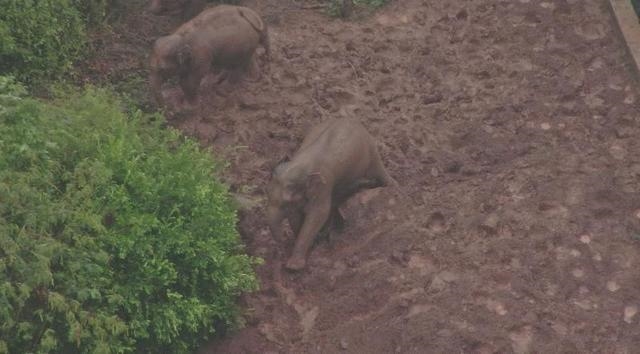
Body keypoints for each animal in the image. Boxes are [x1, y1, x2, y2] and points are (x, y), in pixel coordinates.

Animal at [266, 119, 396, 272]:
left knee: (378, 170)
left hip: (371, 150)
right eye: (267, 194)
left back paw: (393, 185)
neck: (300, 164)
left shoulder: (324, 184)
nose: (281, 243)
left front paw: (294, 267)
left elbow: (318, 213)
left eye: (285, 203)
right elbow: (296, 216)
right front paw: (313, 243)